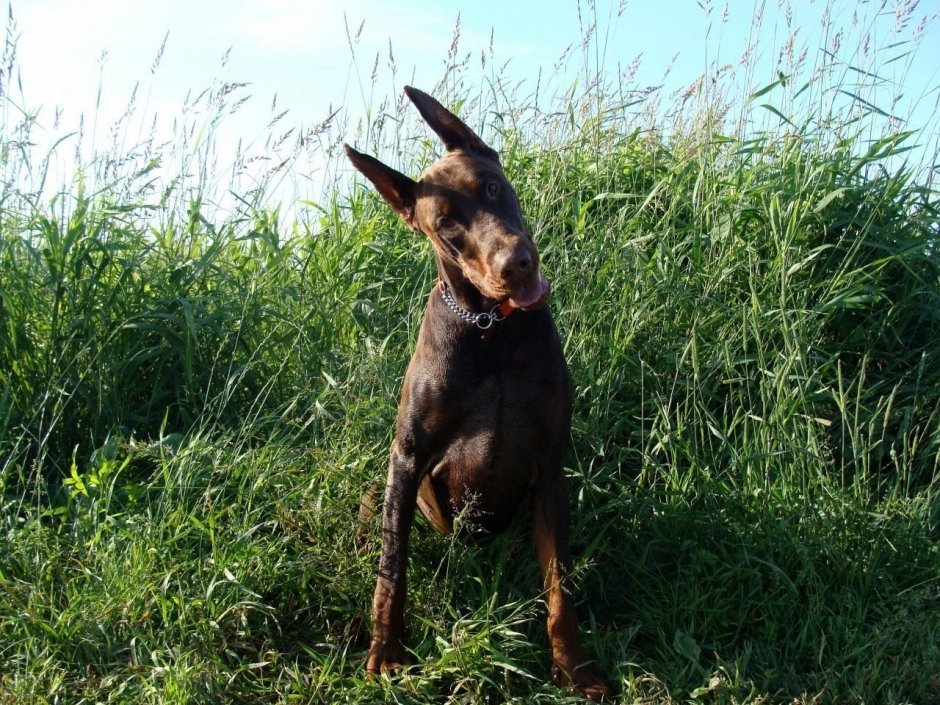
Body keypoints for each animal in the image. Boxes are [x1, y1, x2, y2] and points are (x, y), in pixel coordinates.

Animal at [346, 86, 608, 700]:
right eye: (445, 224)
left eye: (491, 186)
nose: (517, 265)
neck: (491, 330)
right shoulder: (408, 457)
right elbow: (393, 569)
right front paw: (386, 652)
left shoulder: (549, 465)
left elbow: (559, 584)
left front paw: (572, 668)